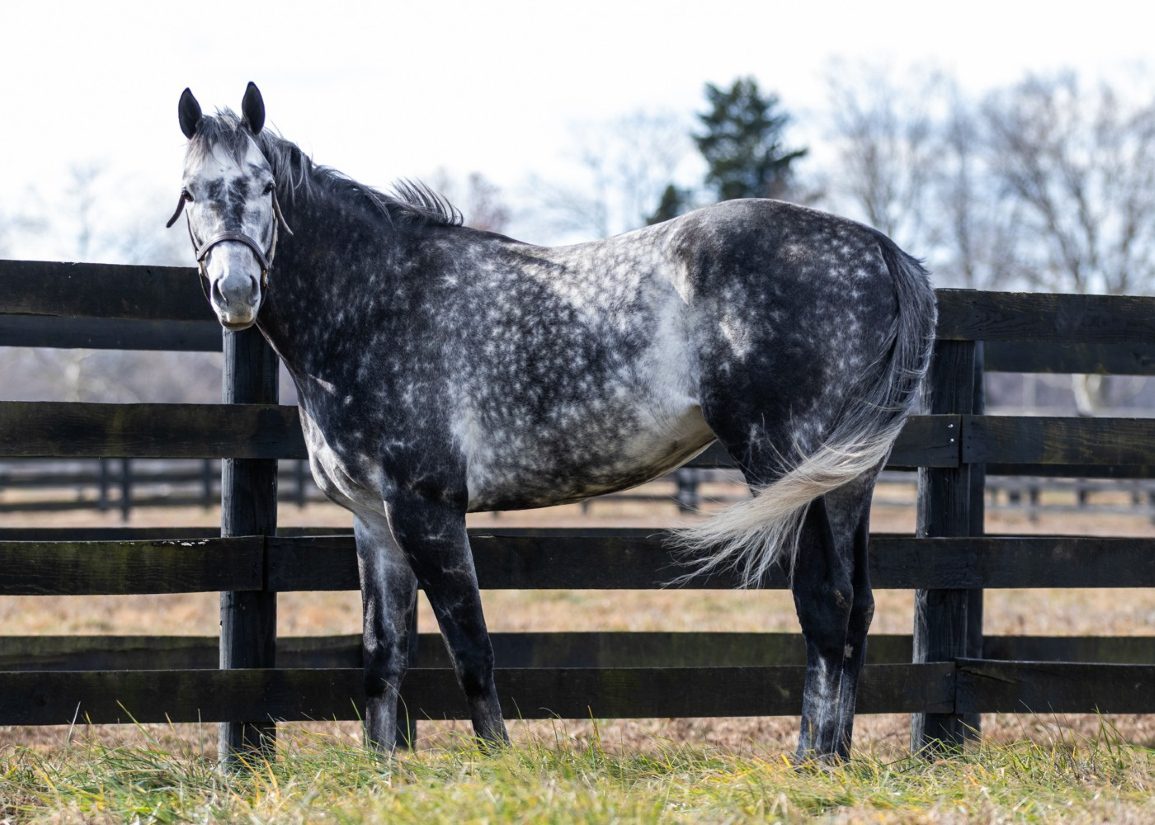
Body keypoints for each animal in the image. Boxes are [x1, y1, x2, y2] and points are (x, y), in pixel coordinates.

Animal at [167, 82, 936, 762]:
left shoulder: (427, 508)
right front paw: (384, 770)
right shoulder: (374, 519)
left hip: (787, 466)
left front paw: (498, 763)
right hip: (847, 481)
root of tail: (875, 247)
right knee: (855, 606)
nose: (236, 291)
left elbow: (470, 647)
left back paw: (815, 761)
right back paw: (830, 754)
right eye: (190, 192)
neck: (375, 301)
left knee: (822, 602)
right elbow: (383, 656)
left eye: (265, 187)